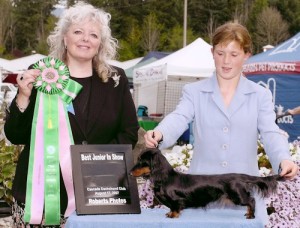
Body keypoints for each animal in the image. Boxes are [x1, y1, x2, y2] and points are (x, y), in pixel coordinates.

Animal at [130, 148, 282, 219]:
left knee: (251, 201)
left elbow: (175, 207)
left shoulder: (176, 200)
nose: (130, 172)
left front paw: (173, 215)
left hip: (237, 196)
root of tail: (240, 176)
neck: (165, 178)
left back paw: (251, 215)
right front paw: (169, 213)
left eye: (142, 161)